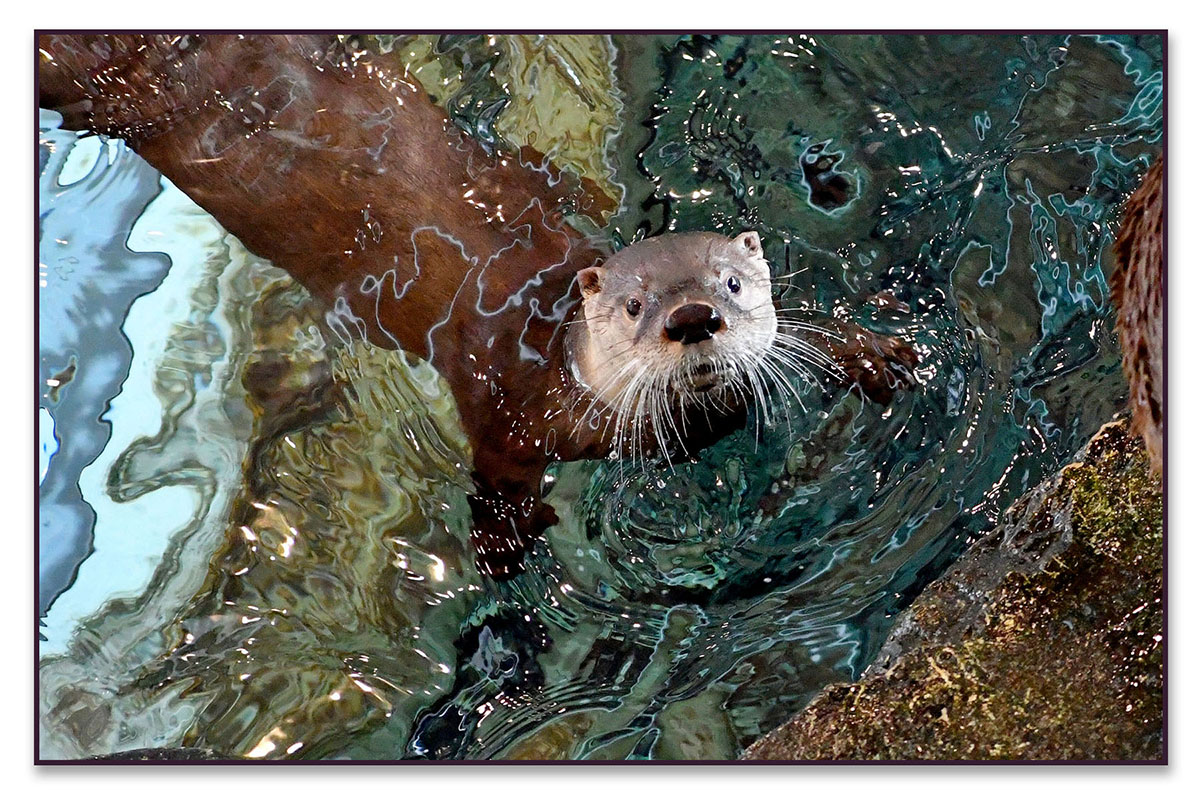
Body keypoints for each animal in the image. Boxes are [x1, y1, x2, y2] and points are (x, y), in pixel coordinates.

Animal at [38, 33, 917, 578]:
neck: (564, 371)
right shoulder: (505, 399)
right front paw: (502, 546)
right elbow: (493, 466)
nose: (692, 318)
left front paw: (875, 352)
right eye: (636, 306)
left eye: (730, 284)